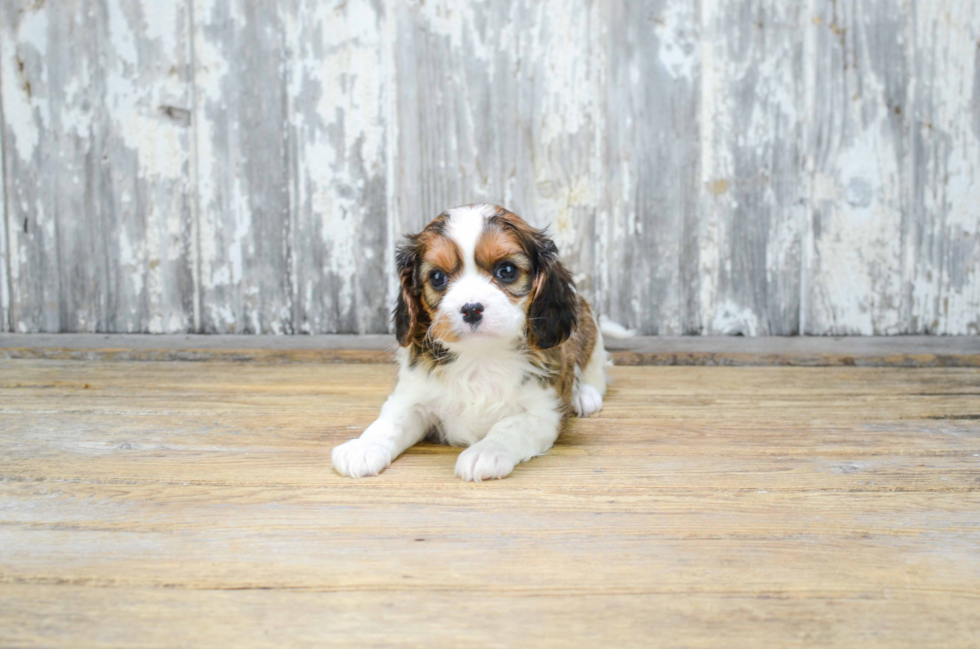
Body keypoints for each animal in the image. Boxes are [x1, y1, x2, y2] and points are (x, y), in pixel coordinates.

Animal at [334, 202, 632, 480]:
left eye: (507, 271)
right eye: (438, 277)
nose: (471, 309)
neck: (480, 355)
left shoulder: (544, 413)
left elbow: (509, 427)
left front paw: (486, 452)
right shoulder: (412, 397)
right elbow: (389, 422)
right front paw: (363, 448)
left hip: (590, 333)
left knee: (595, 371)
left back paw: (584, 395)